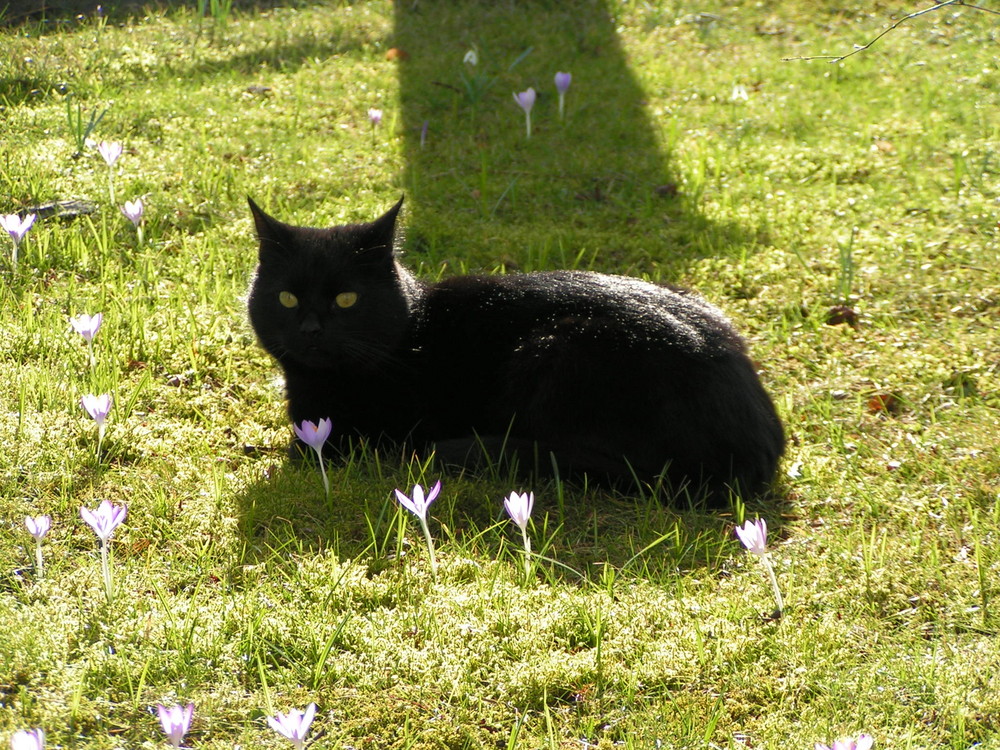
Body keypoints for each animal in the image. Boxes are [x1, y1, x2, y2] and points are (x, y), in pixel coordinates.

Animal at [246, 198, 784, 506]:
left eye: (346, 299)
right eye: (287, 298)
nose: (311, 329)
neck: (410, 329)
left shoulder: (354, 436)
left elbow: (310, 448)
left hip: (560, 345)